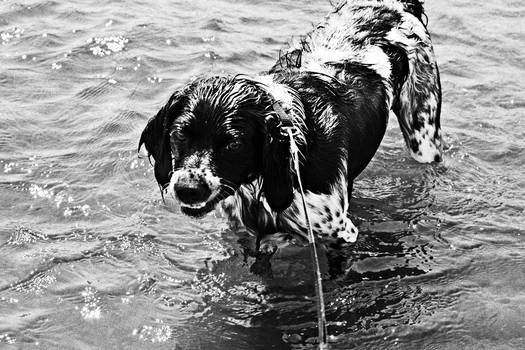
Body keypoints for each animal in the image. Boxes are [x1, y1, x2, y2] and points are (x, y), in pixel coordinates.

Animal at [138, 1, 442, 250]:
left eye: (234, 143)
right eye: (180, 134)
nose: (188, 189)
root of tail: (393, 5)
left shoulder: (339, 234)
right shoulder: (244, 231)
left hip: (423, 134)